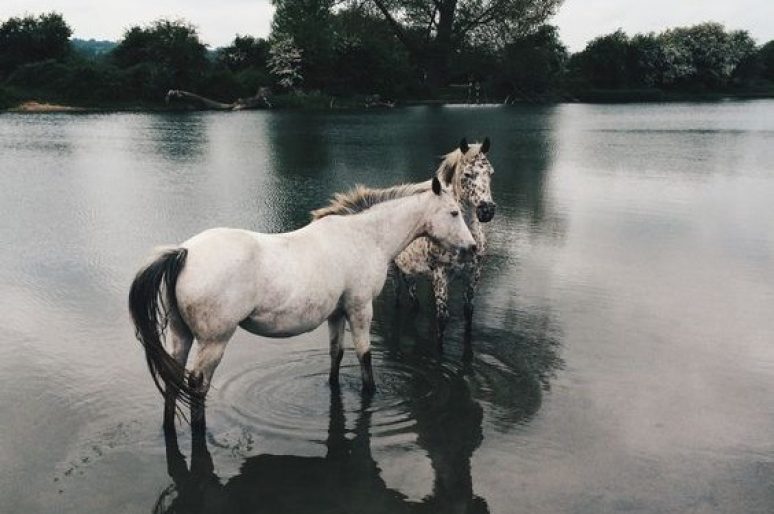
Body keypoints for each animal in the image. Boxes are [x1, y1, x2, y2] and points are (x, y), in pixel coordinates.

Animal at [130, 176, 476, 428]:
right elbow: (364, 356)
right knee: (197, 384)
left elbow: (336, 355)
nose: (472, 247)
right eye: (454, 212)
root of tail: (184, 252)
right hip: (214, 341)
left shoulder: (337, 314)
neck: (364, 236)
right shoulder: (360, 308)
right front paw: (370, 393)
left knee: (174, 378)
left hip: (181, 335)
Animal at [394, 138, 498, 342]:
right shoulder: (441, 275)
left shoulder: (473, 274)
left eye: (490, 172)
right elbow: (442, 319)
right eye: (467, 174)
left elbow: (468, 311)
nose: (487, 210)